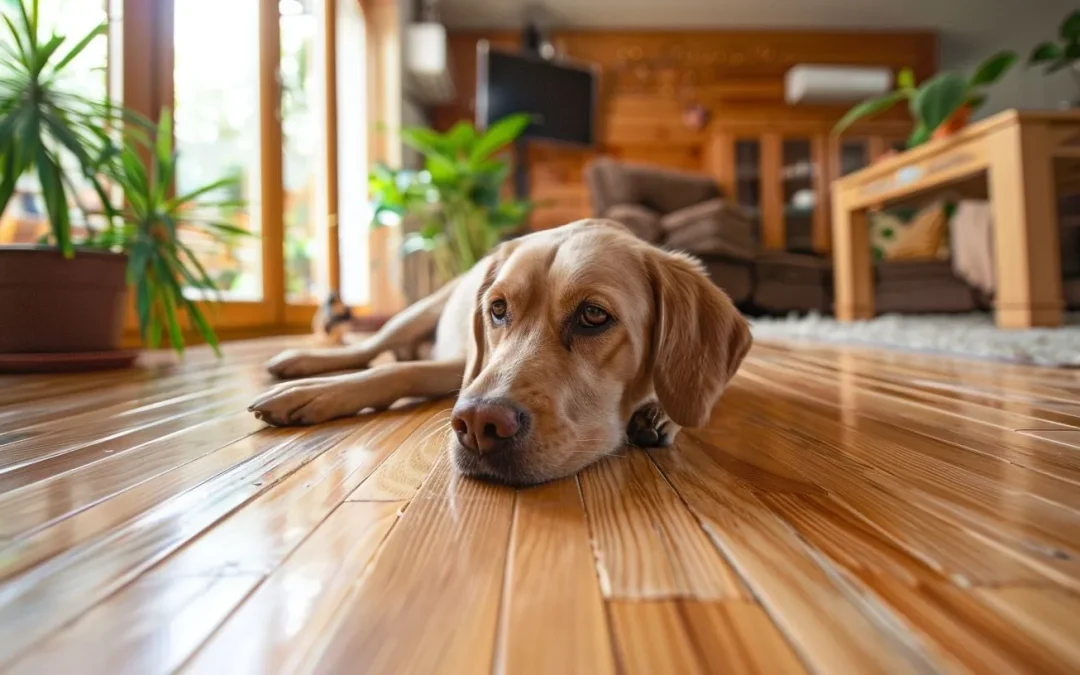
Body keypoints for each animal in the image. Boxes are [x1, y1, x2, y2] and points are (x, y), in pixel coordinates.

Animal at [248, 220, 751, 483]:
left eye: (593, 315)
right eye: (498, 309)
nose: (477, 424)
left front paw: (659, 413)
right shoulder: (466, 367)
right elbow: (392, 373)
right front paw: (312, 393)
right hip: (416, 312)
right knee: (373, 348)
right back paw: (302, 364)